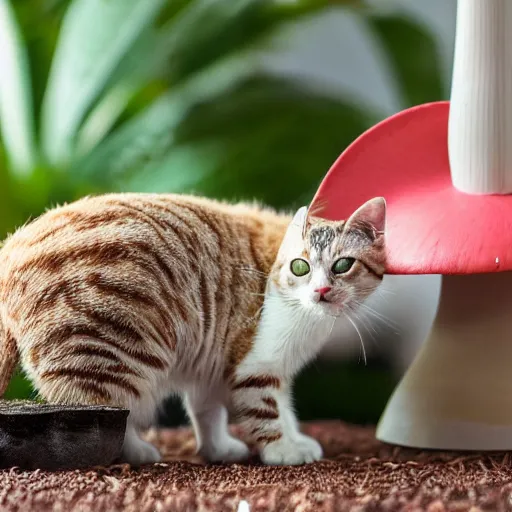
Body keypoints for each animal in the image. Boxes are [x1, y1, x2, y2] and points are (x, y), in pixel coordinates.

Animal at [0, 194, 386, 466]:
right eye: (301, 267)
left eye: (342, 265)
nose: (321, 290)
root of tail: (13, 248)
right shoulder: (254, 364)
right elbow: (268, 409)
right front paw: (283, 450)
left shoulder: (214, 361)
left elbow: (211, 411)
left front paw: (222, 448)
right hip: (113, 356)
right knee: (107, 412)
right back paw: (136, 452)